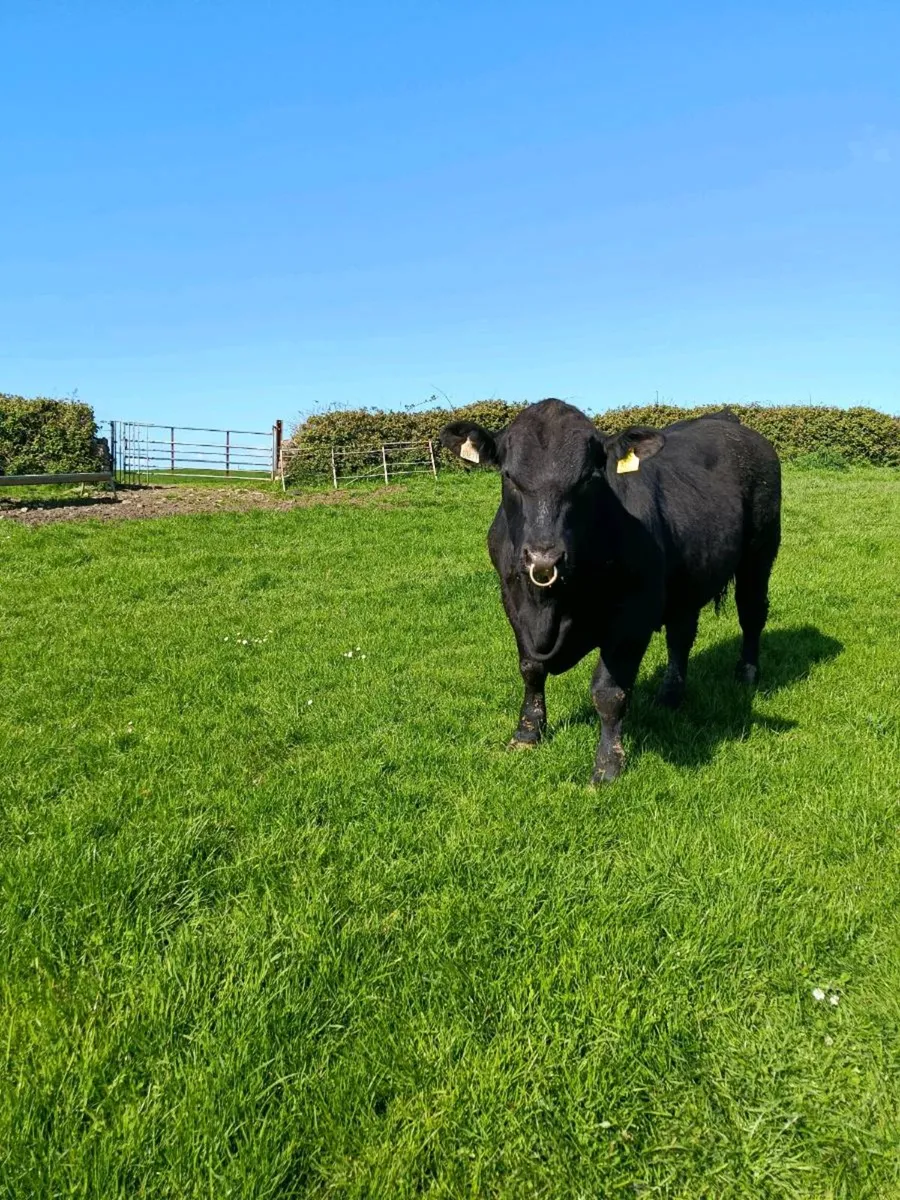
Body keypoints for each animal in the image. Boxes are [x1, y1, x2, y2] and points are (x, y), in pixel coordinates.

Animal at [440, 399, 781, 783]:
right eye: (509, 477)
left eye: (588, 479)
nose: (544, 557)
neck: (552, 605)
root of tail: (727, 419)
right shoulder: (512, 600)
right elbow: (531, 669)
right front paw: (526, 734)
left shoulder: (633, 615)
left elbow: (609, 692)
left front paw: (607, 766)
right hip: (687, 578)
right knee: (681, 634)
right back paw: (670, 695)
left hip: (761, 550)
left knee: (751, 612)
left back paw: (747, 672)